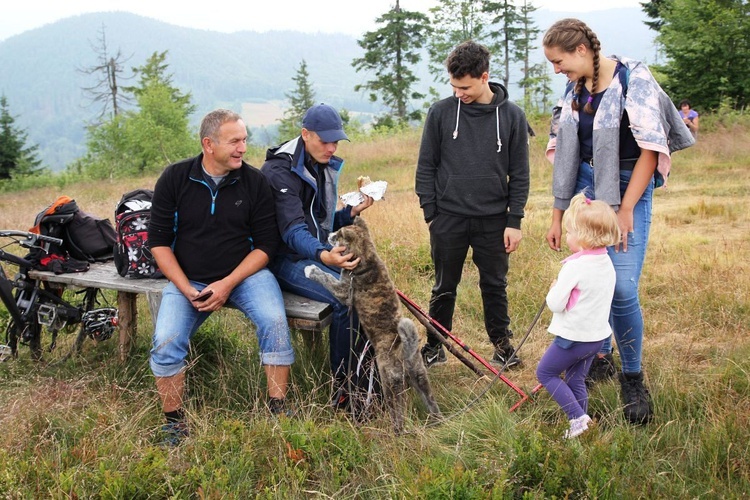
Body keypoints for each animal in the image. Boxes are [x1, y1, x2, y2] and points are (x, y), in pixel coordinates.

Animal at [306, 217, 444, 432]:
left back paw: (396, 431)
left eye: (339, 234)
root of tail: (403, 349)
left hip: (390, 384)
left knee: (397, 413)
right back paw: (438, 422)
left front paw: (311, 270)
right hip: (420, 377)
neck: (367, 257)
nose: (329, 235)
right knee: (430, 401)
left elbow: (325, 277)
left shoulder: (343, 292)